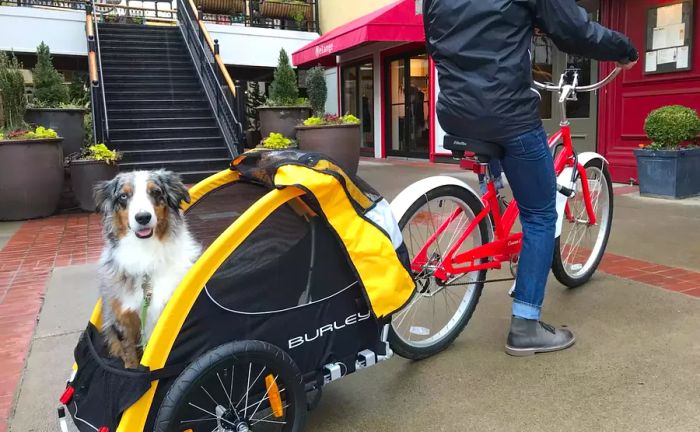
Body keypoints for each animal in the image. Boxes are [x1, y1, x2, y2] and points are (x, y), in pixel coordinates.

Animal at [94, 170, 201, 368]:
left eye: (156, 192)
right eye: (123, 196)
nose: (143, 217)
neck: (145, 250)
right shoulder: (121, 319)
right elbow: (129, 355)